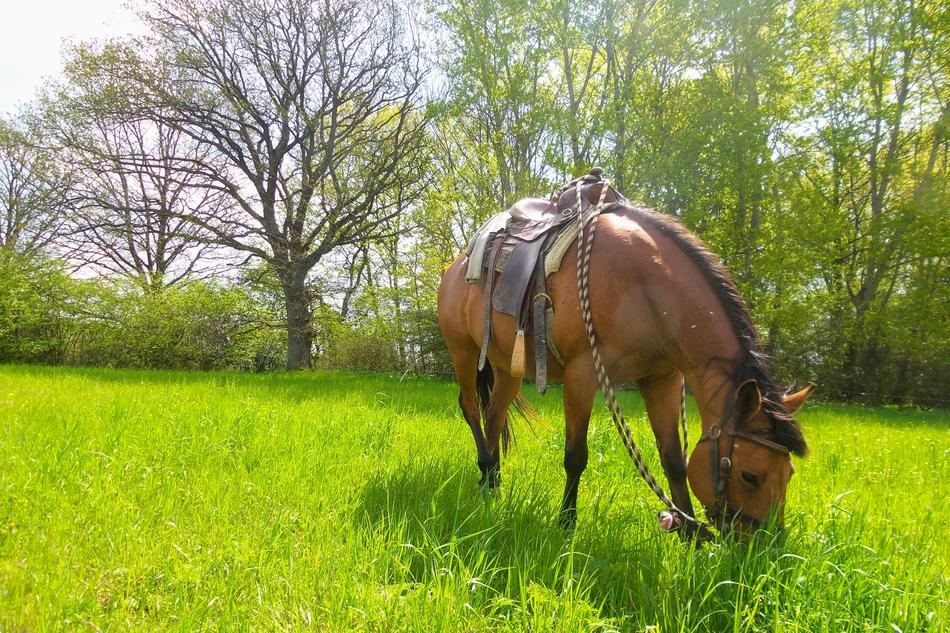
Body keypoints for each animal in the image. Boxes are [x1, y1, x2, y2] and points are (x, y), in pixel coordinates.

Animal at [437, 183, 813, 538]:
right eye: (751, 476)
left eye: (790, 473)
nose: (762, 549)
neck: (642, 288)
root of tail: (457, 265)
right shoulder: (582, 374)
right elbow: (575, 457)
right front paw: (566, 525)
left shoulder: (662, 379)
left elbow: (674, 460)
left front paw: (687, 533)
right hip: (463, 351)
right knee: (471, 408)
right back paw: (485, 467)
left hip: (507, 367)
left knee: (494, 416)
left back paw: (492, 484)